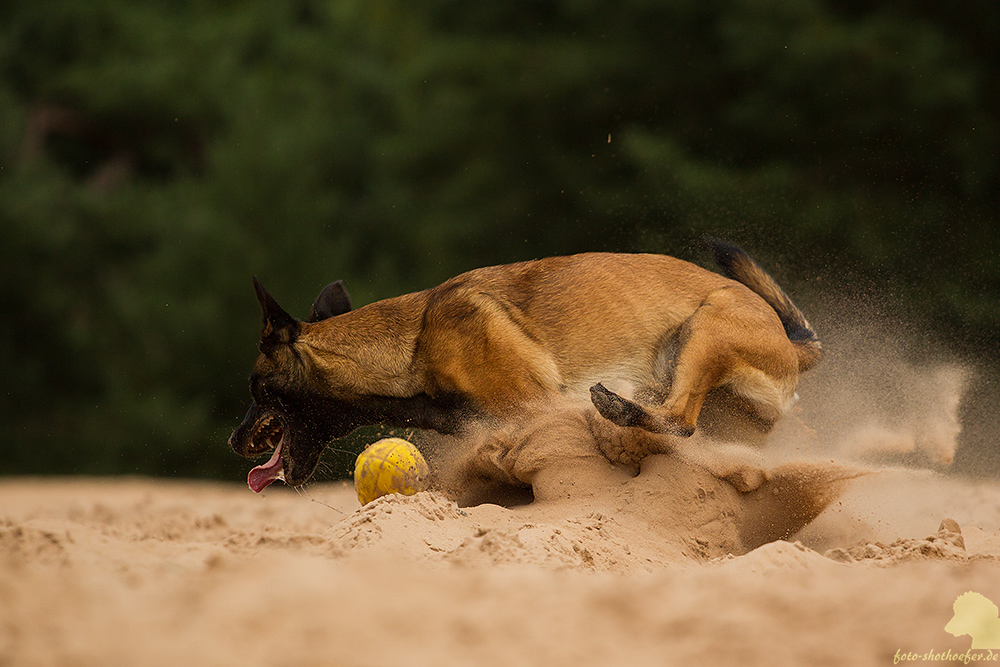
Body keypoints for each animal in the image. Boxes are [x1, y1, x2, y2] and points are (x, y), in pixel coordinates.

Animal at [230, 240, 824, 490]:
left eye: (257, 389)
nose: (233, 441)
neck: (412, 345)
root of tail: (790, 341)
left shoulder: (533, 406)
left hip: (705, 324)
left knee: (679, 419)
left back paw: (618, 407)